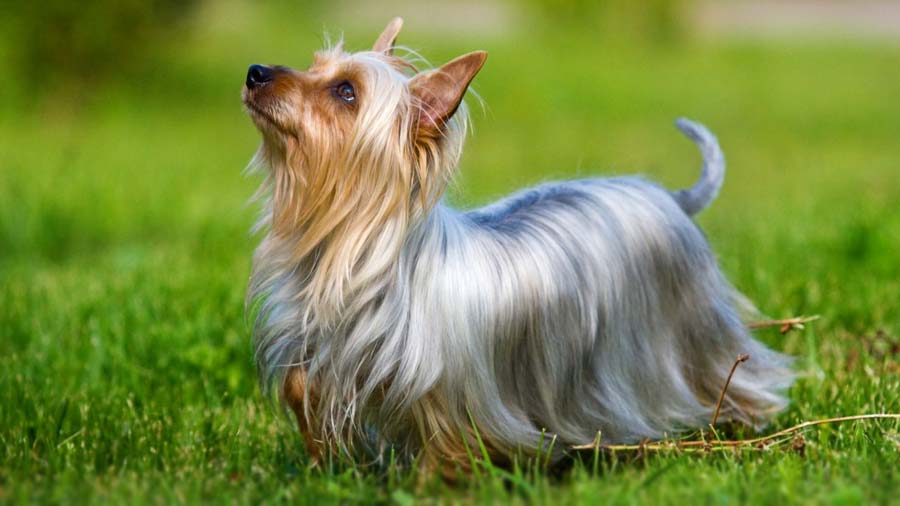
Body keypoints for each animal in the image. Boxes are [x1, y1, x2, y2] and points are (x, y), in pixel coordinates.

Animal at [241, 16, 796, 474]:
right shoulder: (320, 352)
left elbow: (446, 444)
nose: (255, 71)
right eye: (314, 65)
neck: (351, 250)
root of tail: (670, 197)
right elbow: (303, 391)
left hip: (692, 334)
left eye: (346, 92)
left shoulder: (448, 396)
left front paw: (434, 485)